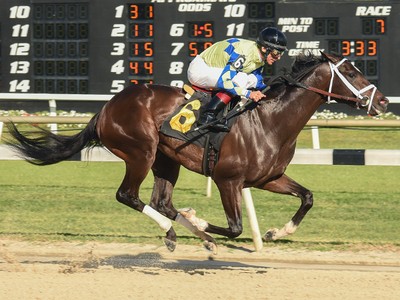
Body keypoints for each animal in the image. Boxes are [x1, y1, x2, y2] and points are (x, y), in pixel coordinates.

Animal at [6, 52, 388, 252]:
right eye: (350, 70)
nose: (383, 101)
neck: (270, 121)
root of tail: (107, 107)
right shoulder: (228, 180)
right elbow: (234, 227)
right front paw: (202, 220)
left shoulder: (268, 178)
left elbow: (307, 197)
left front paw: (274, 233)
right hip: (141, 152)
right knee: (128, 195)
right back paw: (180, 230)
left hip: (165, 160)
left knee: (161, 201)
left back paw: (192, 233)